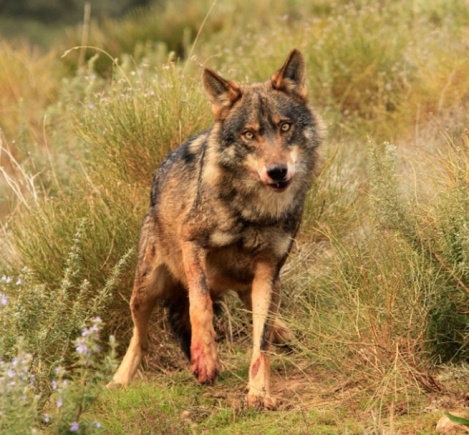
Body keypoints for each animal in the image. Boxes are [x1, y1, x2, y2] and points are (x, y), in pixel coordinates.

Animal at [109, 48, 322, 408]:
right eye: (249, 134)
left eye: (285, 126)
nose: (277, 171)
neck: (254, 211)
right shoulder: (192, 242)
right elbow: (200, 304)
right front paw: (205, 358)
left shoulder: (269, 270)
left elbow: (260, 343)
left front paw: (259, 392)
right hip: (145, 289)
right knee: (141, 338)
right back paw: (118, 381)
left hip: (255, 284)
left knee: (265, 322)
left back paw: (285, 334)